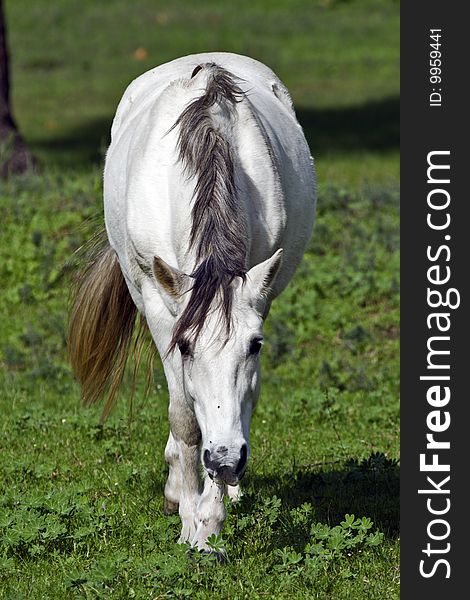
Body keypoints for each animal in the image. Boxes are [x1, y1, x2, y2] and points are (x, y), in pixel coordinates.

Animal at [68, 54, 318, 552]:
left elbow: (241, 400)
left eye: (256, 345)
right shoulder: (161, 309)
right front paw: (187, 516)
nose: (224, 460)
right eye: (185, 346)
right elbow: (184, 416)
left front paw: (210, 524)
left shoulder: (260, 296)